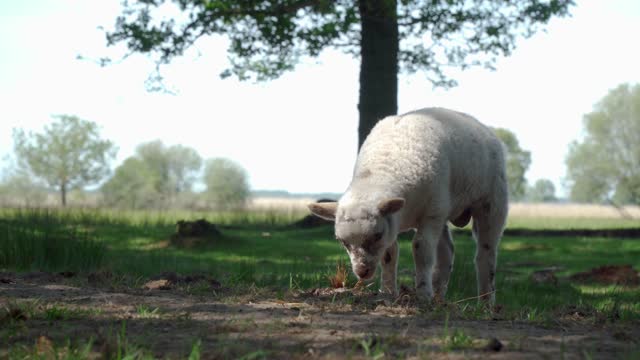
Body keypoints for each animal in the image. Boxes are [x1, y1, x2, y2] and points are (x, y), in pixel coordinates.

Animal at [310, 106, 510, 300]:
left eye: (377, 235)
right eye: (342, 241)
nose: (362, 272)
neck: (383, 168)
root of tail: (483, 127)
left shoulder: (431, 213)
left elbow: (421, 250)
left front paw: (422, 293)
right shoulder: (397, 221)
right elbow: (390, 254)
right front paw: (388, 291)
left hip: (491, 202)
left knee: (486, 254)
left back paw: (485, 301)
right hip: (444, 211)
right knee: (447, 252)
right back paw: (438, 297)